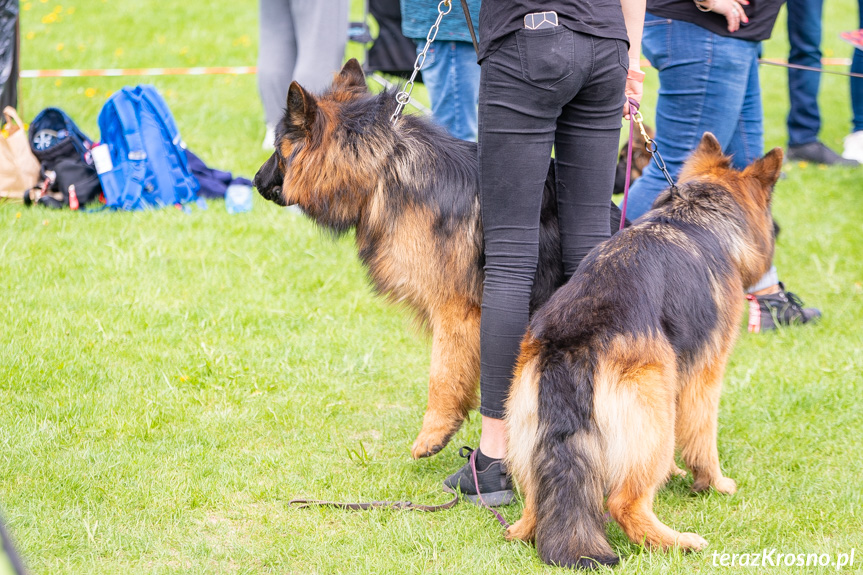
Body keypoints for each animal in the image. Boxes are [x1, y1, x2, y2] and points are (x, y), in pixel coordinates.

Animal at [253, 58, 624, 462]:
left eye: (278, 148)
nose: (255, 180)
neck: (383, 166)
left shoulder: (455, 312)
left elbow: (443, 373)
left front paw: (435, 431)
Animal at [502, 134, 788, 568]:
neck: (697, 214)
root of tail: (573, 336)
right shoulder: (704, 372)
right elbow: (702, 436)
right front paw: (713, 482)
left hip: (527, 425)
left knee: (536, 502)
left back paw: (522, 529)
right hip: (653, 408)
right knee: (625, 503)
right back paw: (676, 542)